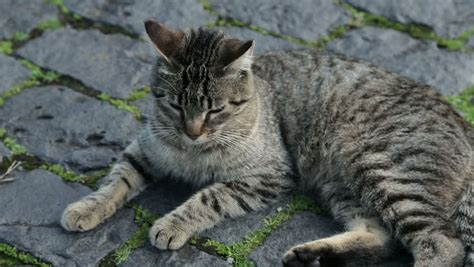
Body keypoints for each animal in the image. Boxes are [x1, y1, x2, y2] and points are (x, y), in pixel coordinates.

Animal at [61, 19, 472, 266]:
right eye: (176, 104)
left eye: (215, 109)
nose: (192, 131)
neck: (192, 150)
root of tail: (465, 125)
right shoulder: (145, 149)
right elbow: (117, 179)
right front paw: (86, 207)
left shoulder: (268, 175)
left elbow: (209, 197)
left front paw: (173, 223)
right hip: (346, 185)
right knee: (382, 236)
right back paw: (311, 256)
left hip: (384, 170)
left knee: (443, 244)